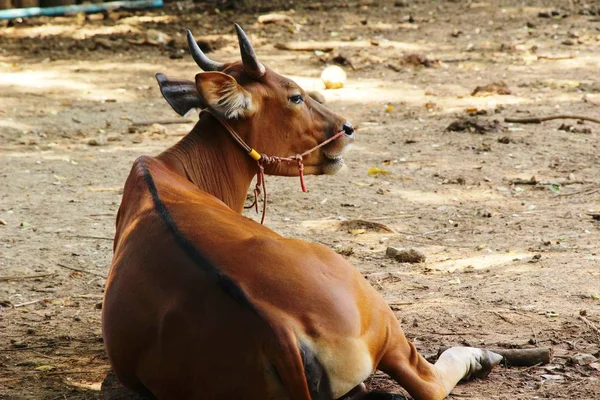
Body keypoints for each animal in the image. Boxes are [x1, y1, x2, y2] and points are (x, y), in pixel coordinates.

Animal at [102, 25, 502, 400]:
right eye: (294, 95)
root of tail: (276, 328)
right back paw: (480, 356)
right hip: (380, 316)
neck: (173, 169)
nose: (347, 127)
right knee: (427, 382)